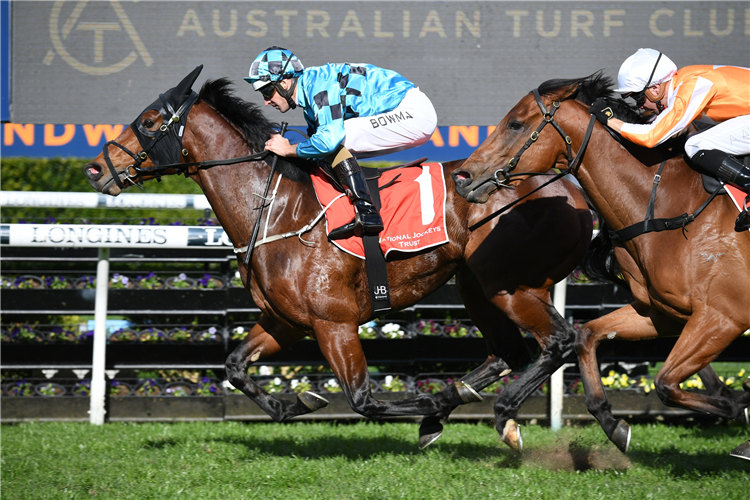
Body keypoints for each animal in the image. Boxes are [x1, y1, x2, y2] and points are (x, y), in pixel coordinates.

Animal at [83, 65, 592, 450]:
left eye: (150, 122)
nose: (95, 168)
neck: (278, 209)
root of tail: (570, 187)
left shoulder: (335, 323)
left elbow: (364, 400)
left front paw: (426, 409)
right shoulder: (286, 321)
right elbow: (236, 367)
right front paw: (293, 404)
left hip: (510, 284)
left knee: (560, 340)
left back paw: (482, 411)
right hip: (476, 284)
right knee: (512, 351)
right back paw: (459, 401)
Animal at [452, 73, 750, 454]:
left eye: (515, 123)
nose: (462, 177)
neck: (669, 208)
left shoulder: (723, 317)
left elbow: (666, 383)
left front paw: (738, 405)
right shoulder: (663, 313)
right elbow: (588, 337)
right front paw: (613, 424)